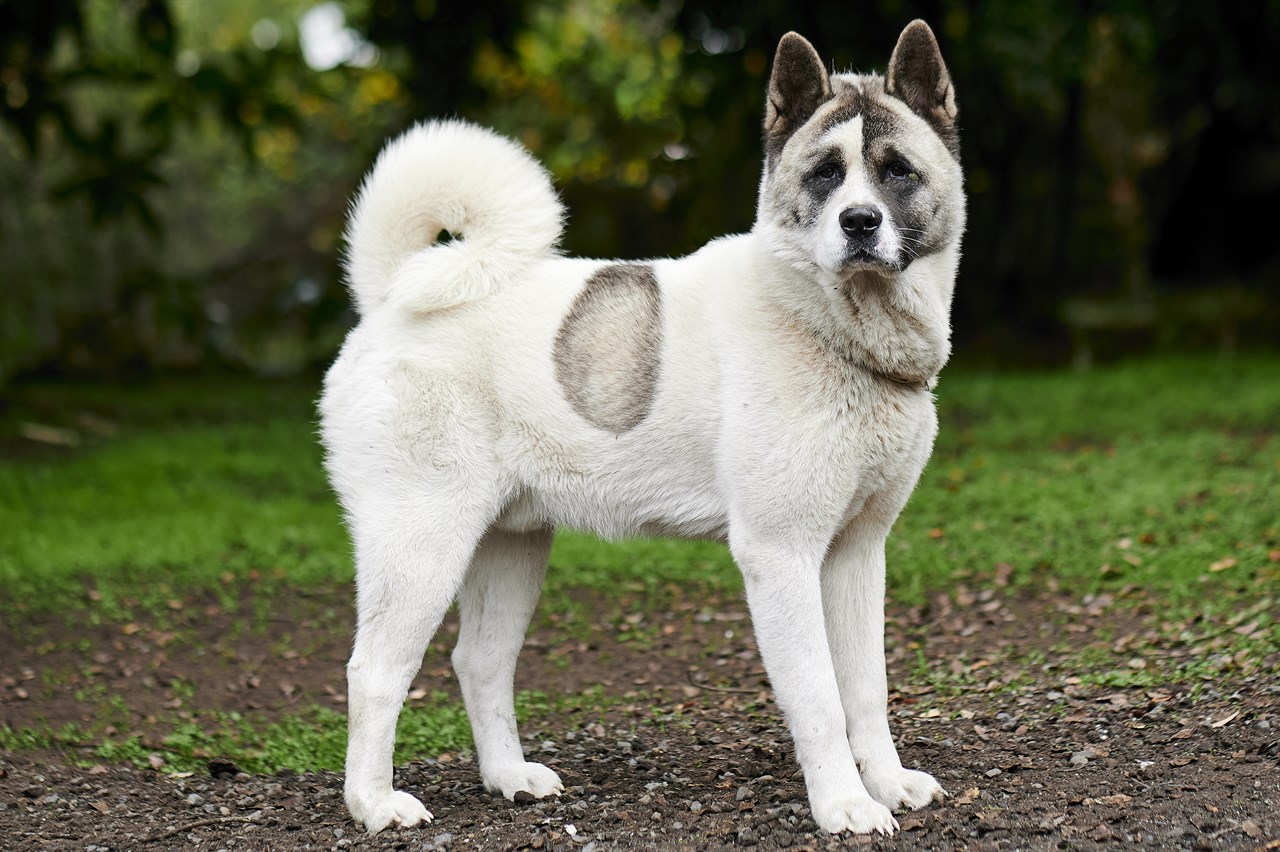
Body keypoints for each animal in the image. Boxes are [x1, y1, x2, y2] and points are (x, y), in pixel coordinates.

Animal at [320, 21, 962, 834]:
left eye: (896, 171)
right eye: (824, 175)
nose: (859, 222)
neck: (823, 324)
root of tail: (390, 296)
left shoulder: (856, 554)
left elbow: (866, 688)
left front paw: (887, 781)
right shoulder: (780, 555)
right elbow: (818, 695)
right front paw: (844, 804)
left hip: (512, 544)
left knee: (479, 661)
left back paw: (508, 778)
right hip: (421, 544)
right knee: (375, 671)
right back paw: (373, 803)